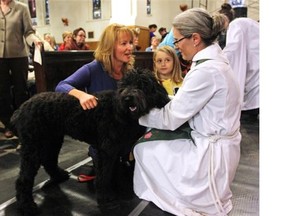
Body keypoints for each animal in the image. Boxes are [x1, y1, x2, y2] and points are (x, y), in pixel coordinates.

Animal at [10, 68, 169, 215]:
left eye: (142, 85)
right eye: (124, 85)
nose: (127, 98)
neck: (120, 113)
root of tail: (21, 109)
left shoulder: (115, 151)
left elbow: (111, 171)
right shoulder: (106, 151)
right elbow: (103, 176)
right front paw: (106, 200)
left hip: (52, 141)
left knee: (48, 160)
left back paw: (59, 175)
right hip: (33, 147)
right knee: (23, 178)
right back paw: (26, 205)